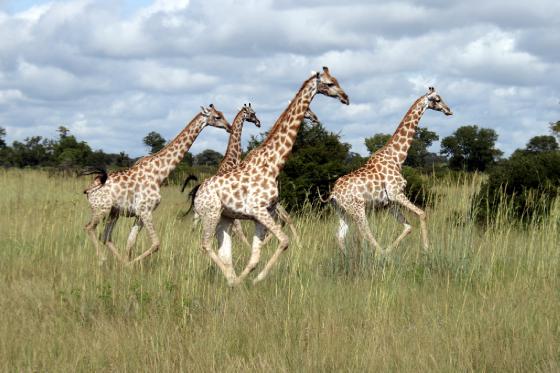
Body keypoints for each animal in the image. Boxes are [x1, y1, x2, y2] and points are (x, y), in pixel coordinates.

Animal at [83, 103, 232, 264]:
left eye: (222, 114)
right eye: (217, 117)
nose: (229, 127)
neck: (159, 174)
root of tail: (88, 190)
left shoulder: (140, 214)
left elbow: (131, 242)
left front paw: (126, 264)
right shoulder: (145, 211)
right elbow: (155, 244)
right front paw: (131, 265)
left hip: (113, 212)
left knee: (106, 237)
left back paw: (116, 262)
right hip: (101, 208)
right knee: (89, 227)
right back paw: (102, 259)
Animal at [195, 66, 348, 284]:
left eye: (337, 80)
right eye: (329, 83)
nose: (345, 97)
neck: (274, 164)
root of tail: (197, 193)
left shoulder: (263, 213)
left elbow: (256, 256)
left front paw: (249, 279)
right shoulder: (258, 210)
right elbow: (283, 241)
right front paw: (254, 280)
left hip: (225, 217)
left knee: (224, 251)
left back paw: (232, 278)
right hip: (211, 213)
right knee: (206, 244)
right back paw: (231, 280)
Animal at [324, 87, 450, 256]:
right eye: (437, 99)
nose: (448, 110)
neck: (397, 157)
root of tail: (334, 194)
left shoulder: (388, 202)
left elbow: (408, 227)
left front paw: (390, 251)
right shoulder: (396, 193)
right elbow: (422, 213)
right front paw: (426, 249)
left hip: (342, 211)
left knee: (340, 235)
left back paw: (349, 257)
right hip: (357, 208)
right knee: (365, 232)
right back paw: (377, 254)